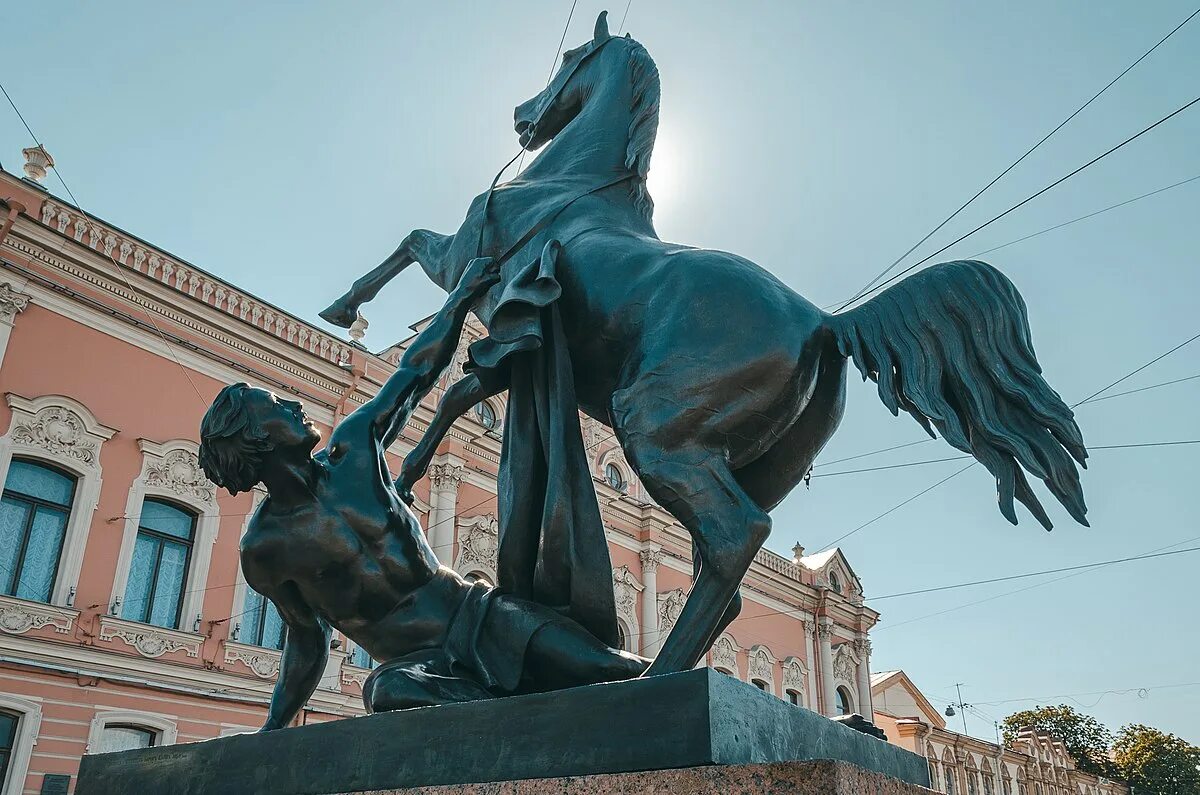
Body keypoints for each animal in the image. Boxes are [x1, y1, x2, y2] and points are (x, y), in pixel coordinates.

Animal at [319, 10, 1089, 677]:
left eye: (571, 59)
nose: (521, 117)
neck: (573, 182)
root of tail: (823, 320)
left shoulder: (467, 265)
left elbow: (413, 256)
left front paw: (345, 308)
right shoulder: (512, 337)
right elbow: (457, 389)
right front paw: (408, 468)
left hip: (656, 432)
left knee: (734, 537)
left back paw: (652, 675)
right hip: (737, 464)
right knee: (732, 568)